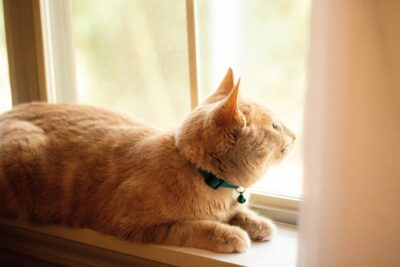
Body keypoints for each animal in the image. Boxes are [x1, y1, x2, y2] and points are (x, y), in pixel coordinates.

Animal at [0, 69, 294, 253]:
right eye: (275, 126)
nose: (294, 135)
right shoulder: (137, 226)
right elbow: (191, 227)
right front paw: (229, 233)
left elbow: (240, 213)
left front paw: (257, 222)